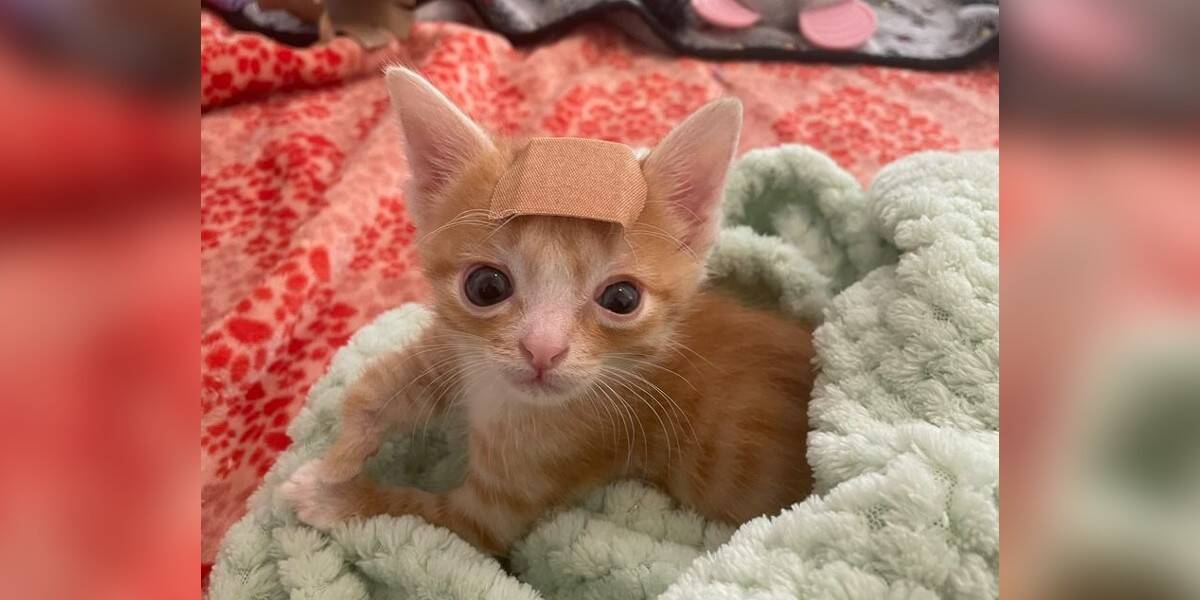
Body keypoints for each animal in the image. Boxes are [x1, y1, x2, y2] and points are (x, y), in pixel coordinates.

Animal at [280, 68, 816, 554]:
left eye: (622, 299)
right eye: (486, 286)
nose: (542, 350)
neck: (503, 401)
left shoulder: (490, 513)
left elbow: (416, 515)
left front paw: (332, 497)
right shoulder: (456, 346)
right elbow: (376, 388)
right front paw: (340, 457)